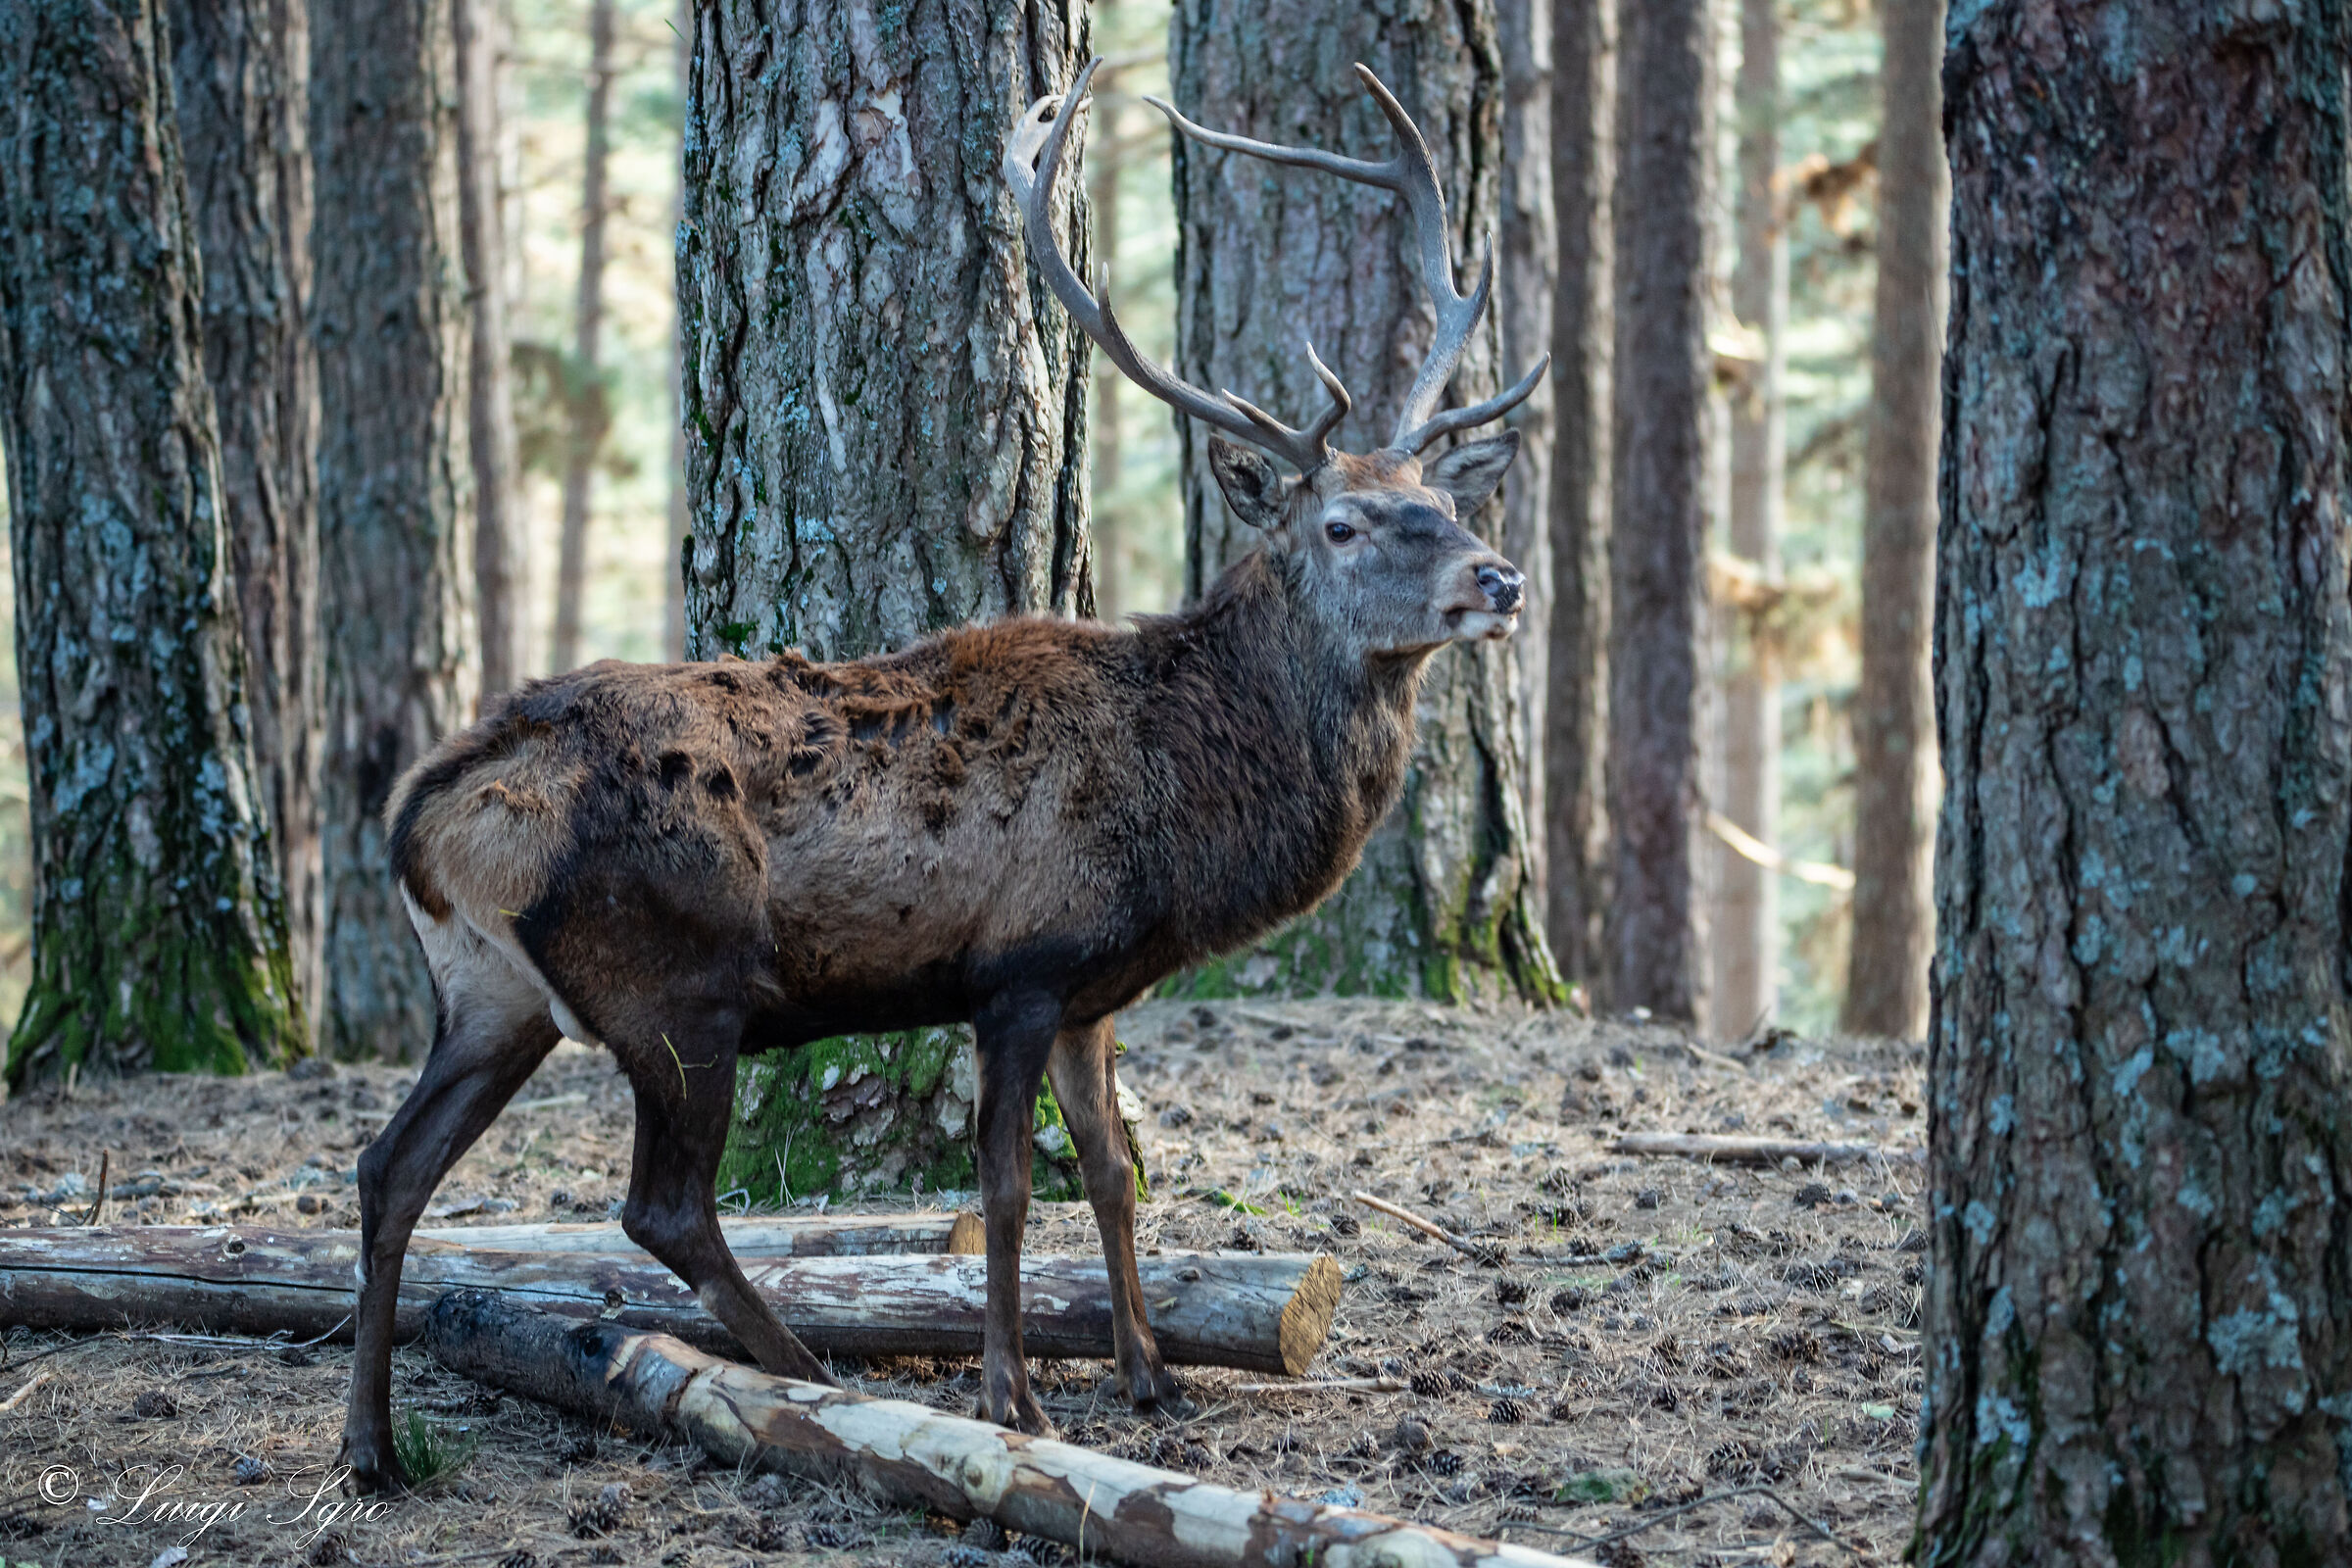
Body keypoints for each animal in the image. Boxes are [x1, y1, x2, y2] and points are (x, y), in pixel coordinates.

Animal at [336, 54, 1546, 1491]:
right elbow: (1009, 1187)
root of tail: (427, 810)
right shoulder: (1017, 967)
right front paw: (1017, 1398)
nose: (1498, 577)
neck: (1182, 806)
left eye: (1448, 502)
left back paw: (373, 1447)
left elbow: (1114, 1171)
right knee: (661, 1205)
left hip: (489, 996)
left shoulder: (1092, 989)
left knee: (389, 1167)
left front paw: (1150, 1377)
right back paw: (804, 1372)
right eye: (1347, 522)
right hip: (675, 982)